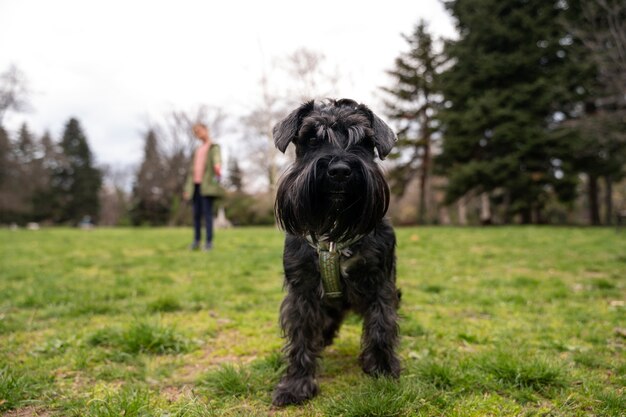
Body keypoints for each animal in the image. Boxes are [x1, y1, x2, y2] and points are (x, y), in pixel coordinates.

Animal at [270, 96, 398, 404]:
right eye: (312, 138)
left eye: (364, 142)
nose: (339, 170)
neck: (333, 234)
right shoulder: (302, 291)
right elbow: (301, 336)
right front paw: (296, 385)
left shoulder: (380, 283)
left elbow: (381, 325)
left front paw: (383, 369)